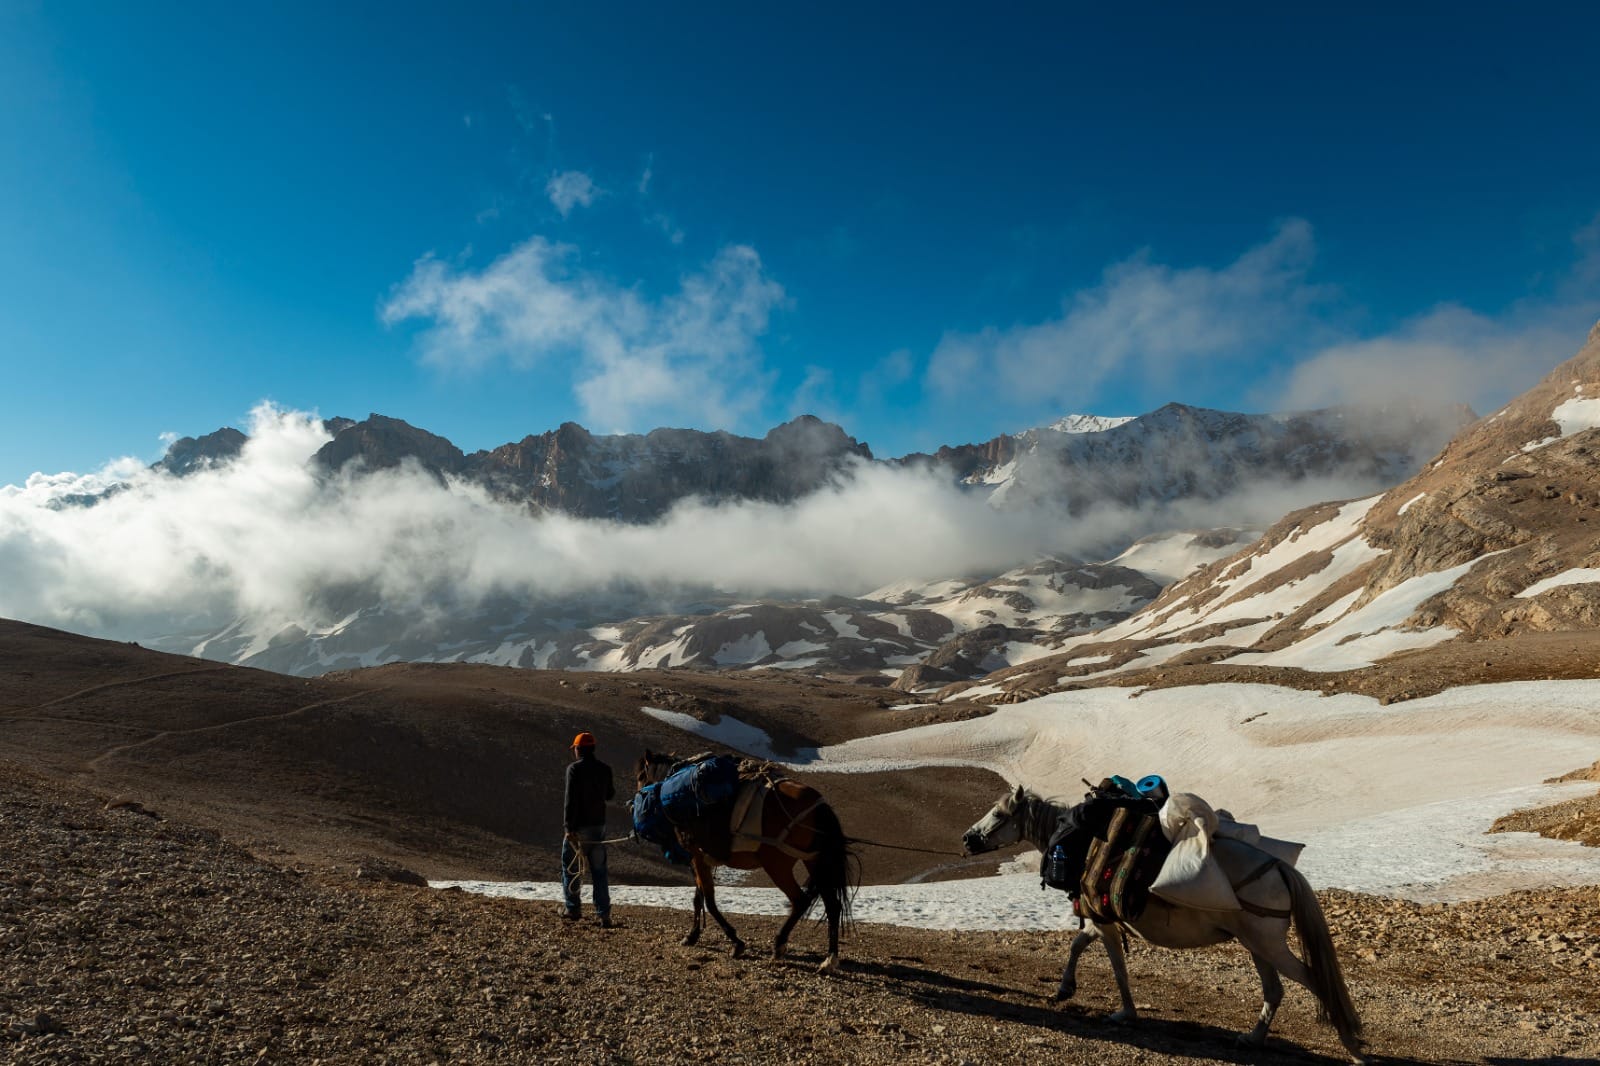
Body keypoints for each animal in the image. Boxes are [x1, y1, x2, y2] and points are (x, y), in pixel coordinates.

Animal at [636, 745, 864, 973]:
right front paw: (692, 936)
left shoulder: (697, 856)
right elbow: (698, 898)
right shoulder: (701, 859)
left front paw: (736, 943)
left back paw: (780, 945)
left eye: (640, 777)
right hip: (815, 861)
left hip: (777, 864)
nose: (634, 802)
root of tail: (819, 805)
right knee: (832, 905)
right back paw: (829, 959)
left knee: (801, 901)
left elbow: (708, 900)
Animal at [960, 781, 1363, 1056]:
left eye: (999, 815)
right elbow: (1078, 944)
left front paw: (1124, 1013)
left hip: (1268, 943)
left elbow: (1117, 967)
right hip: (1257, 945)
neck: (1080, 842)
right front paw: (1064, 989)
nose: (967, 839)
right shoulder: (1098, 920)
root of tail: (1280, 867)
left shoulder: (1104, 921)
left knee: (1314, 980)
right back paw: (1252, 1037)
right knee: (1275, 990)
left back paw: (1353, 1045)